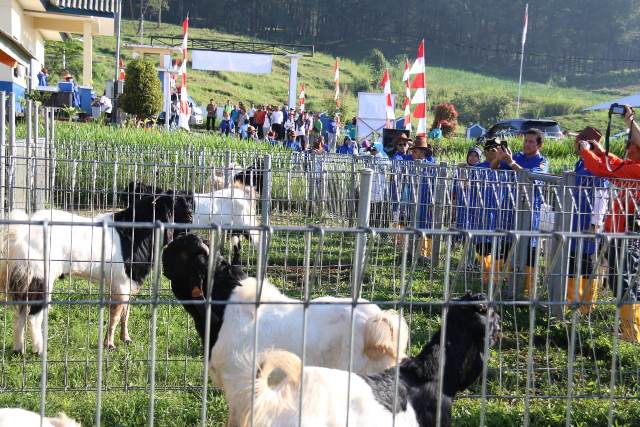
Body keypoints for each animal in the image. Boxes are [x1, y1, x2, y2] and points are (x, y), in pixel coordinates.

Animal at [0, 195, 192, 354]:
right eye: (176, 207)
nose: (191, 217)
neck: (133, 234)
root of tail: (20, 231)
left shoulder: (128, 284)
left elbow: (126, 313)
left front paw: (126, 339)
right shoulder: (120, 284)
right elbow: (115, 315)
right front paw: (110, 345)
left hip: (24, 277)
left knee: (19, 314)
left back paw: (18, 349)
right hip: (41, 277)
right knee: (33, 315)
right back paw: (39, 350)